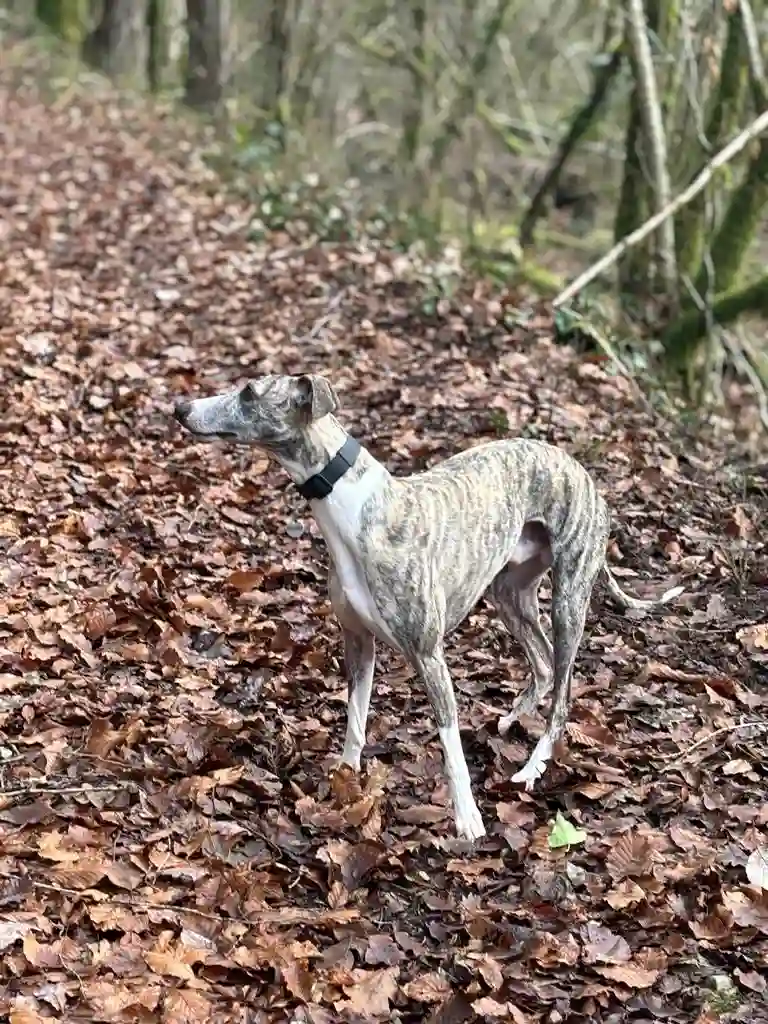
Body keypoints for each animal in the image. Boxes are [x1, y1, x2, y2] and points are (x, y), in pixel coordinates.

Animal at [176, 374, 684, 839]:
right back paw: (511, 719)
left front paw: (468, 819)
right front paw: (346, 779)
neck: (355, 508)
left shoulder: (428, 654)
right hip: (509, 592)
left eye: (248, 393)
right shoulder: (358, 642)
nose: (181, 407)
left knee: (561, 697)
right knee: (541, 664)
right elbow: (355, 720)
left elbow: (450, 743)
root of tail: (579, 469)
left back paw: (531, 768)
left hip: (568, 600)